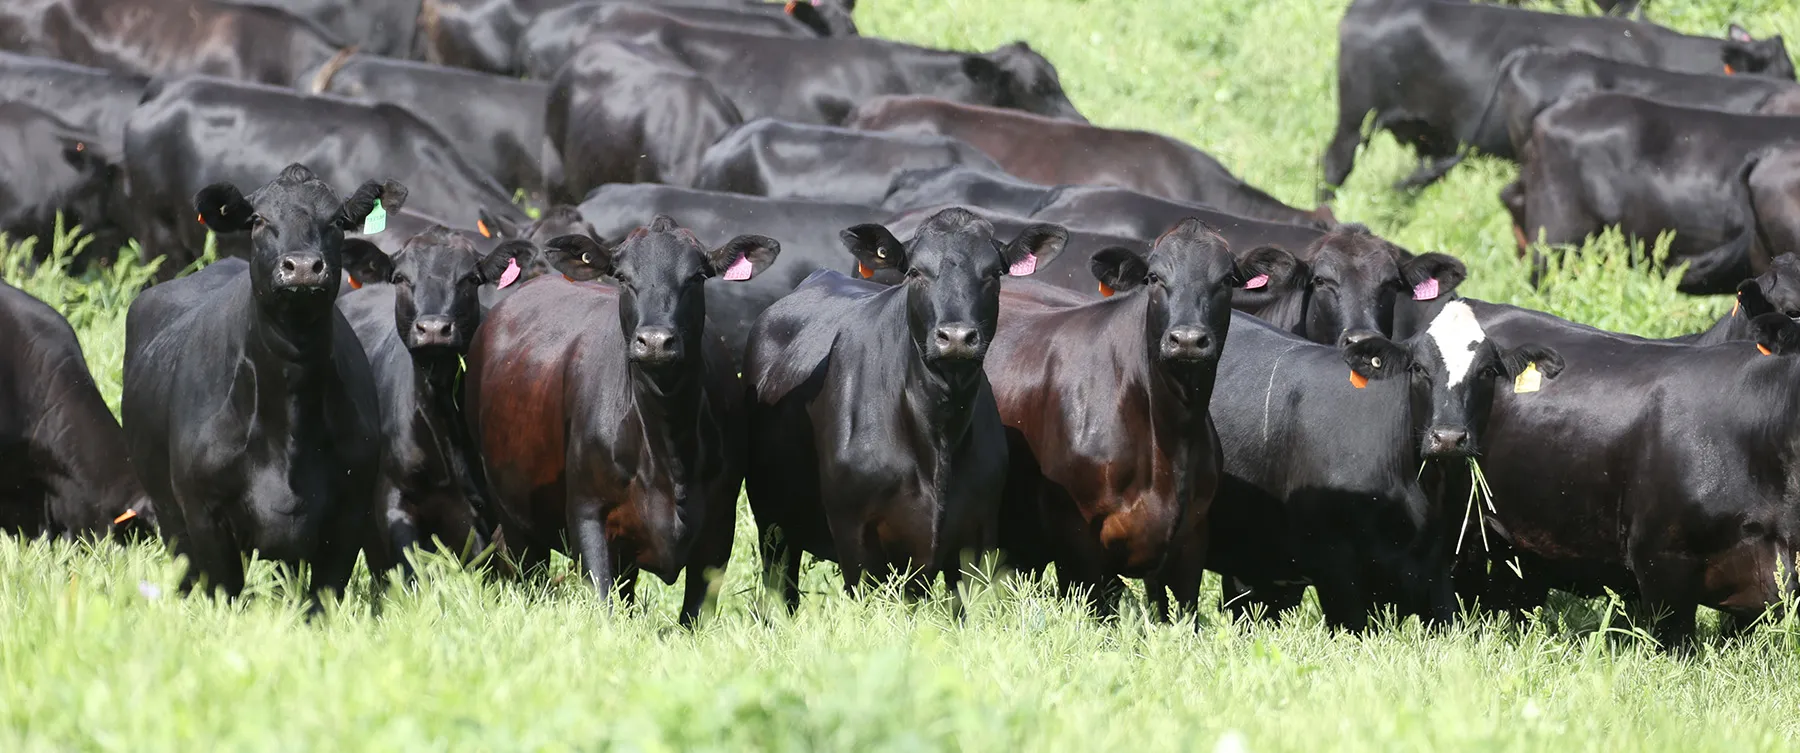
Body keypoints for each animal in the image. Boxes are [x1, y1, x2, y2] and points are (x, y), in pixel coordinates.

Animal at [121, 164, 401, 598]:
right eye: (258, 220)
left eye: (337, 221)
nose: (301, 267)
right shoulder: (203, 516)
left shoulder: (348, 516)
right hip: (170, 518)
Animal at [465, 215, 775, 624]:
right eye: (624, 277)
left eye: (695, 277)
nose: (656, 341)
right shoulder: (587, 515)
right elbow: (602, 604)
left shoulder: (720, 527)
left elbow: (694, 617)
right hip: (514, 512)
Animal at [745, 208, 1066, 609]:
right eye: (915, 272)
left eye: (993, 273)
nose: (956, 337)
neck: (937, 431)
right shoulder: (855, 536)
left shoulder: (977, 538)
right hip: (773, 524)